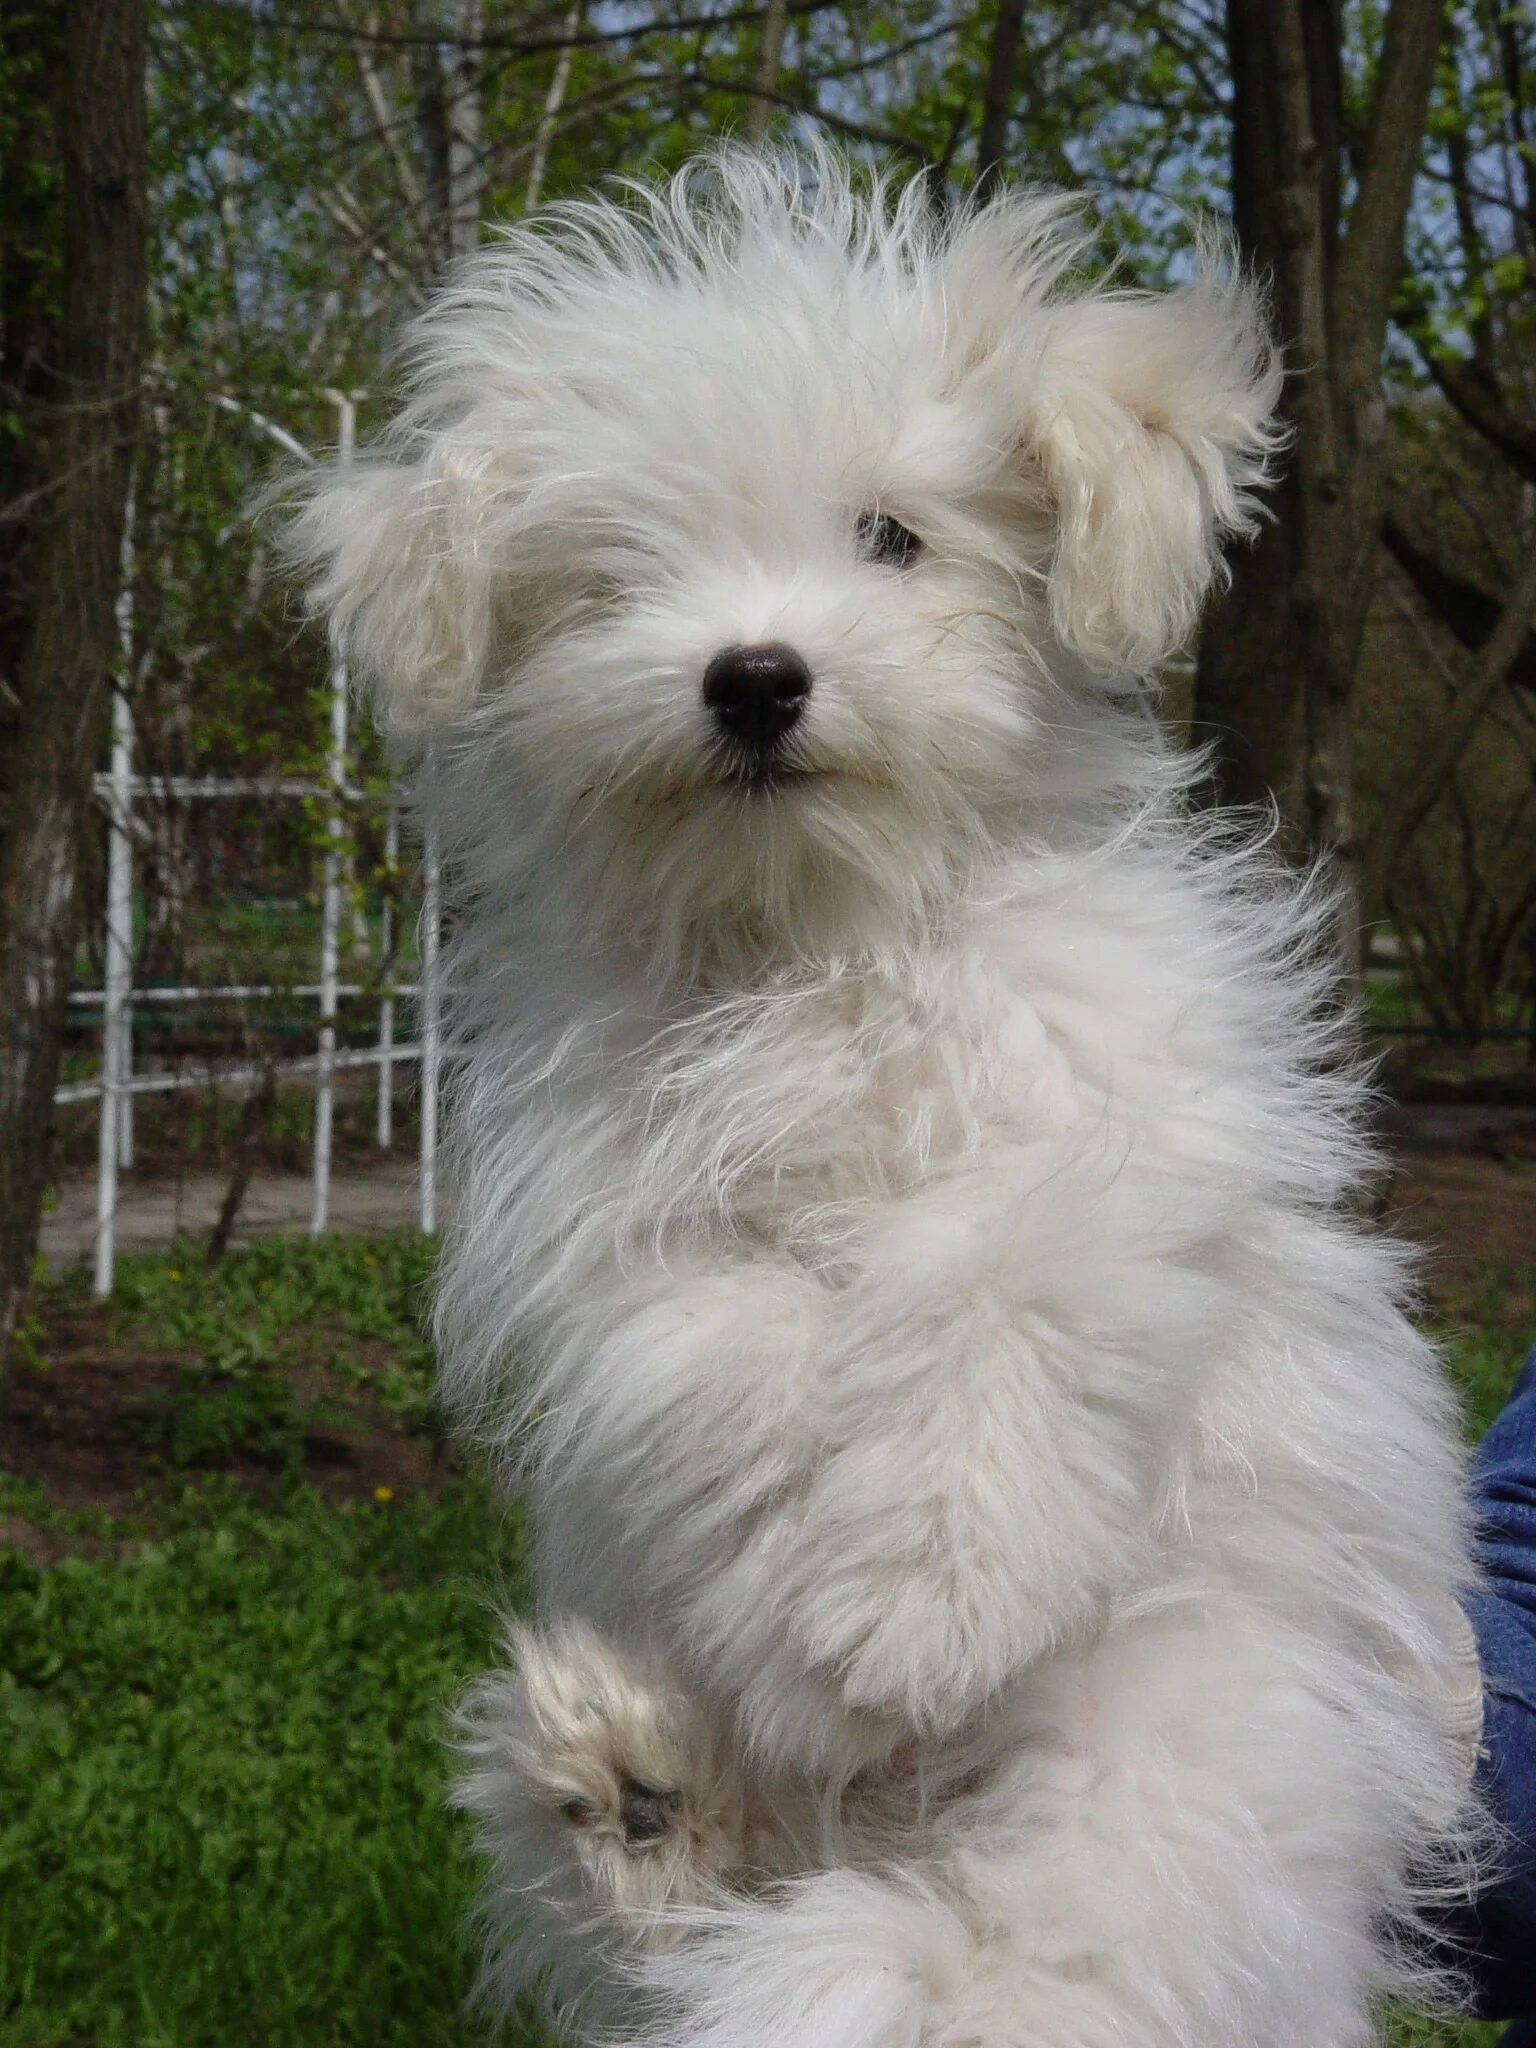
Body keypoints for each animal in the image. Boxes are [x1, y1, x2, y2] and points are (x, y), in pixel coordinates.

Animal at [286, 148, 1482, 2048]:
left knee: (1028, 1955)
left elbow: (992, 1280)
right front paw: (815, 1606)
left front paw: (922, 1602)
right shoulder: (629, 1222)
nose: (755, 675)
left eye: (893, 536)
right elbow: (736, 1351)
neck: (827, 942)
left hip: (1171, 1754)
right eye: (613, 577)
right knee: (708, 1920)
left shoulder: (1115, 1137)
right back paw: (634, 1789)